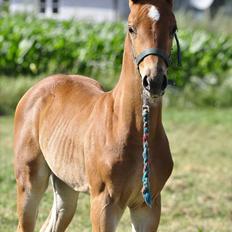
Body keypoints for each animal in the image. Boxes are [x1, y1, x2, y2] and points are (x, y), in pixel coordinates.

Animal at [13, 0, 179, 231]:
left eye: (173, 28)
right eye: (131, 28)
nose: (153, 80)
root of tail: (38, 88)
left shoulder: (148, 205)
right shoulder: (103, 203)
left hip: (65, 186)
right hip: (29, 183)